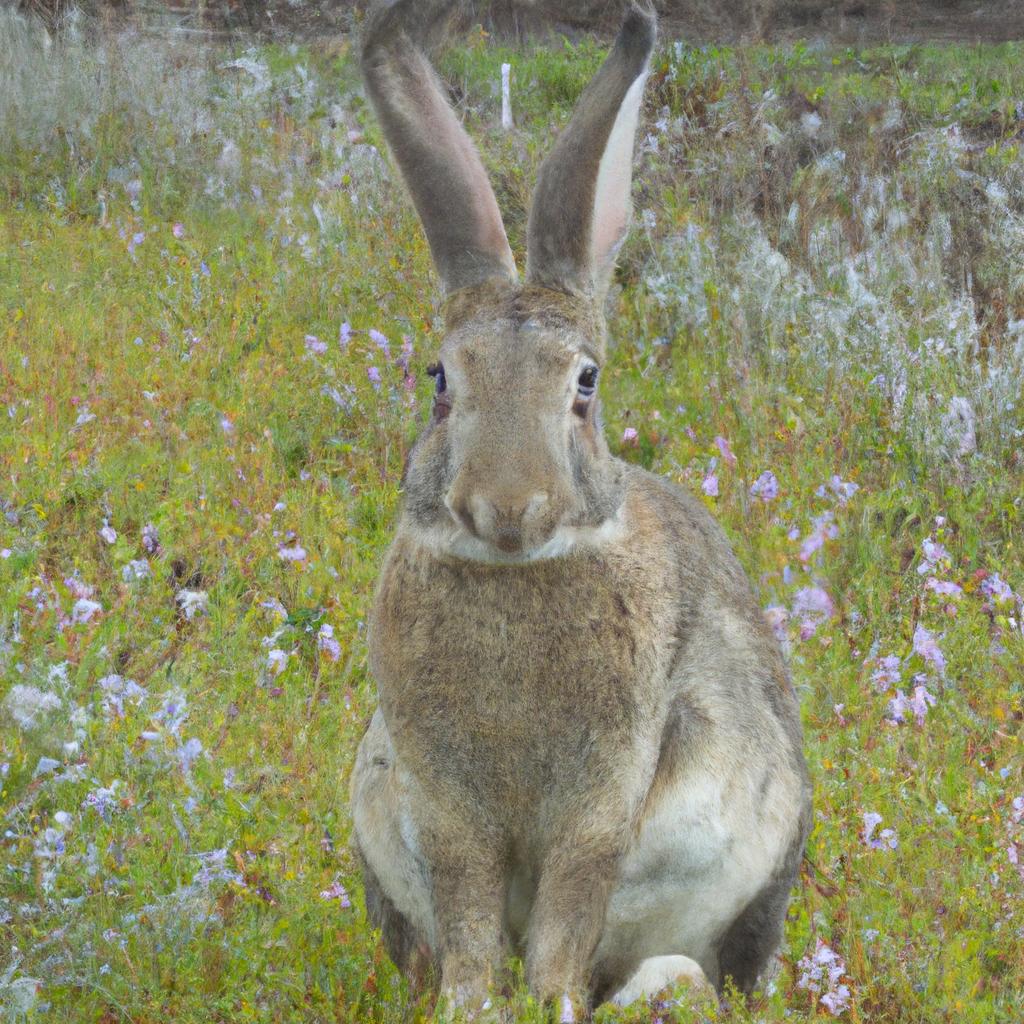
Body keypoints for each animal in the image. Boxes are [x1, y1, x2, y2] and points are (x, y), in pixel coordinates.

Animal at [352, 0, 815, 1007]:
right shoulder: (441, 807)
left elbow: (568, 910)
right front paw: (470, 1008)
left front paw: (548, 1005)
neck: (517, 575)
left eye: (585, 384)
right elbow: (470, 916)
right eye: (439, 379)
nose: (505, 509)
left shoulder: (604, 800)